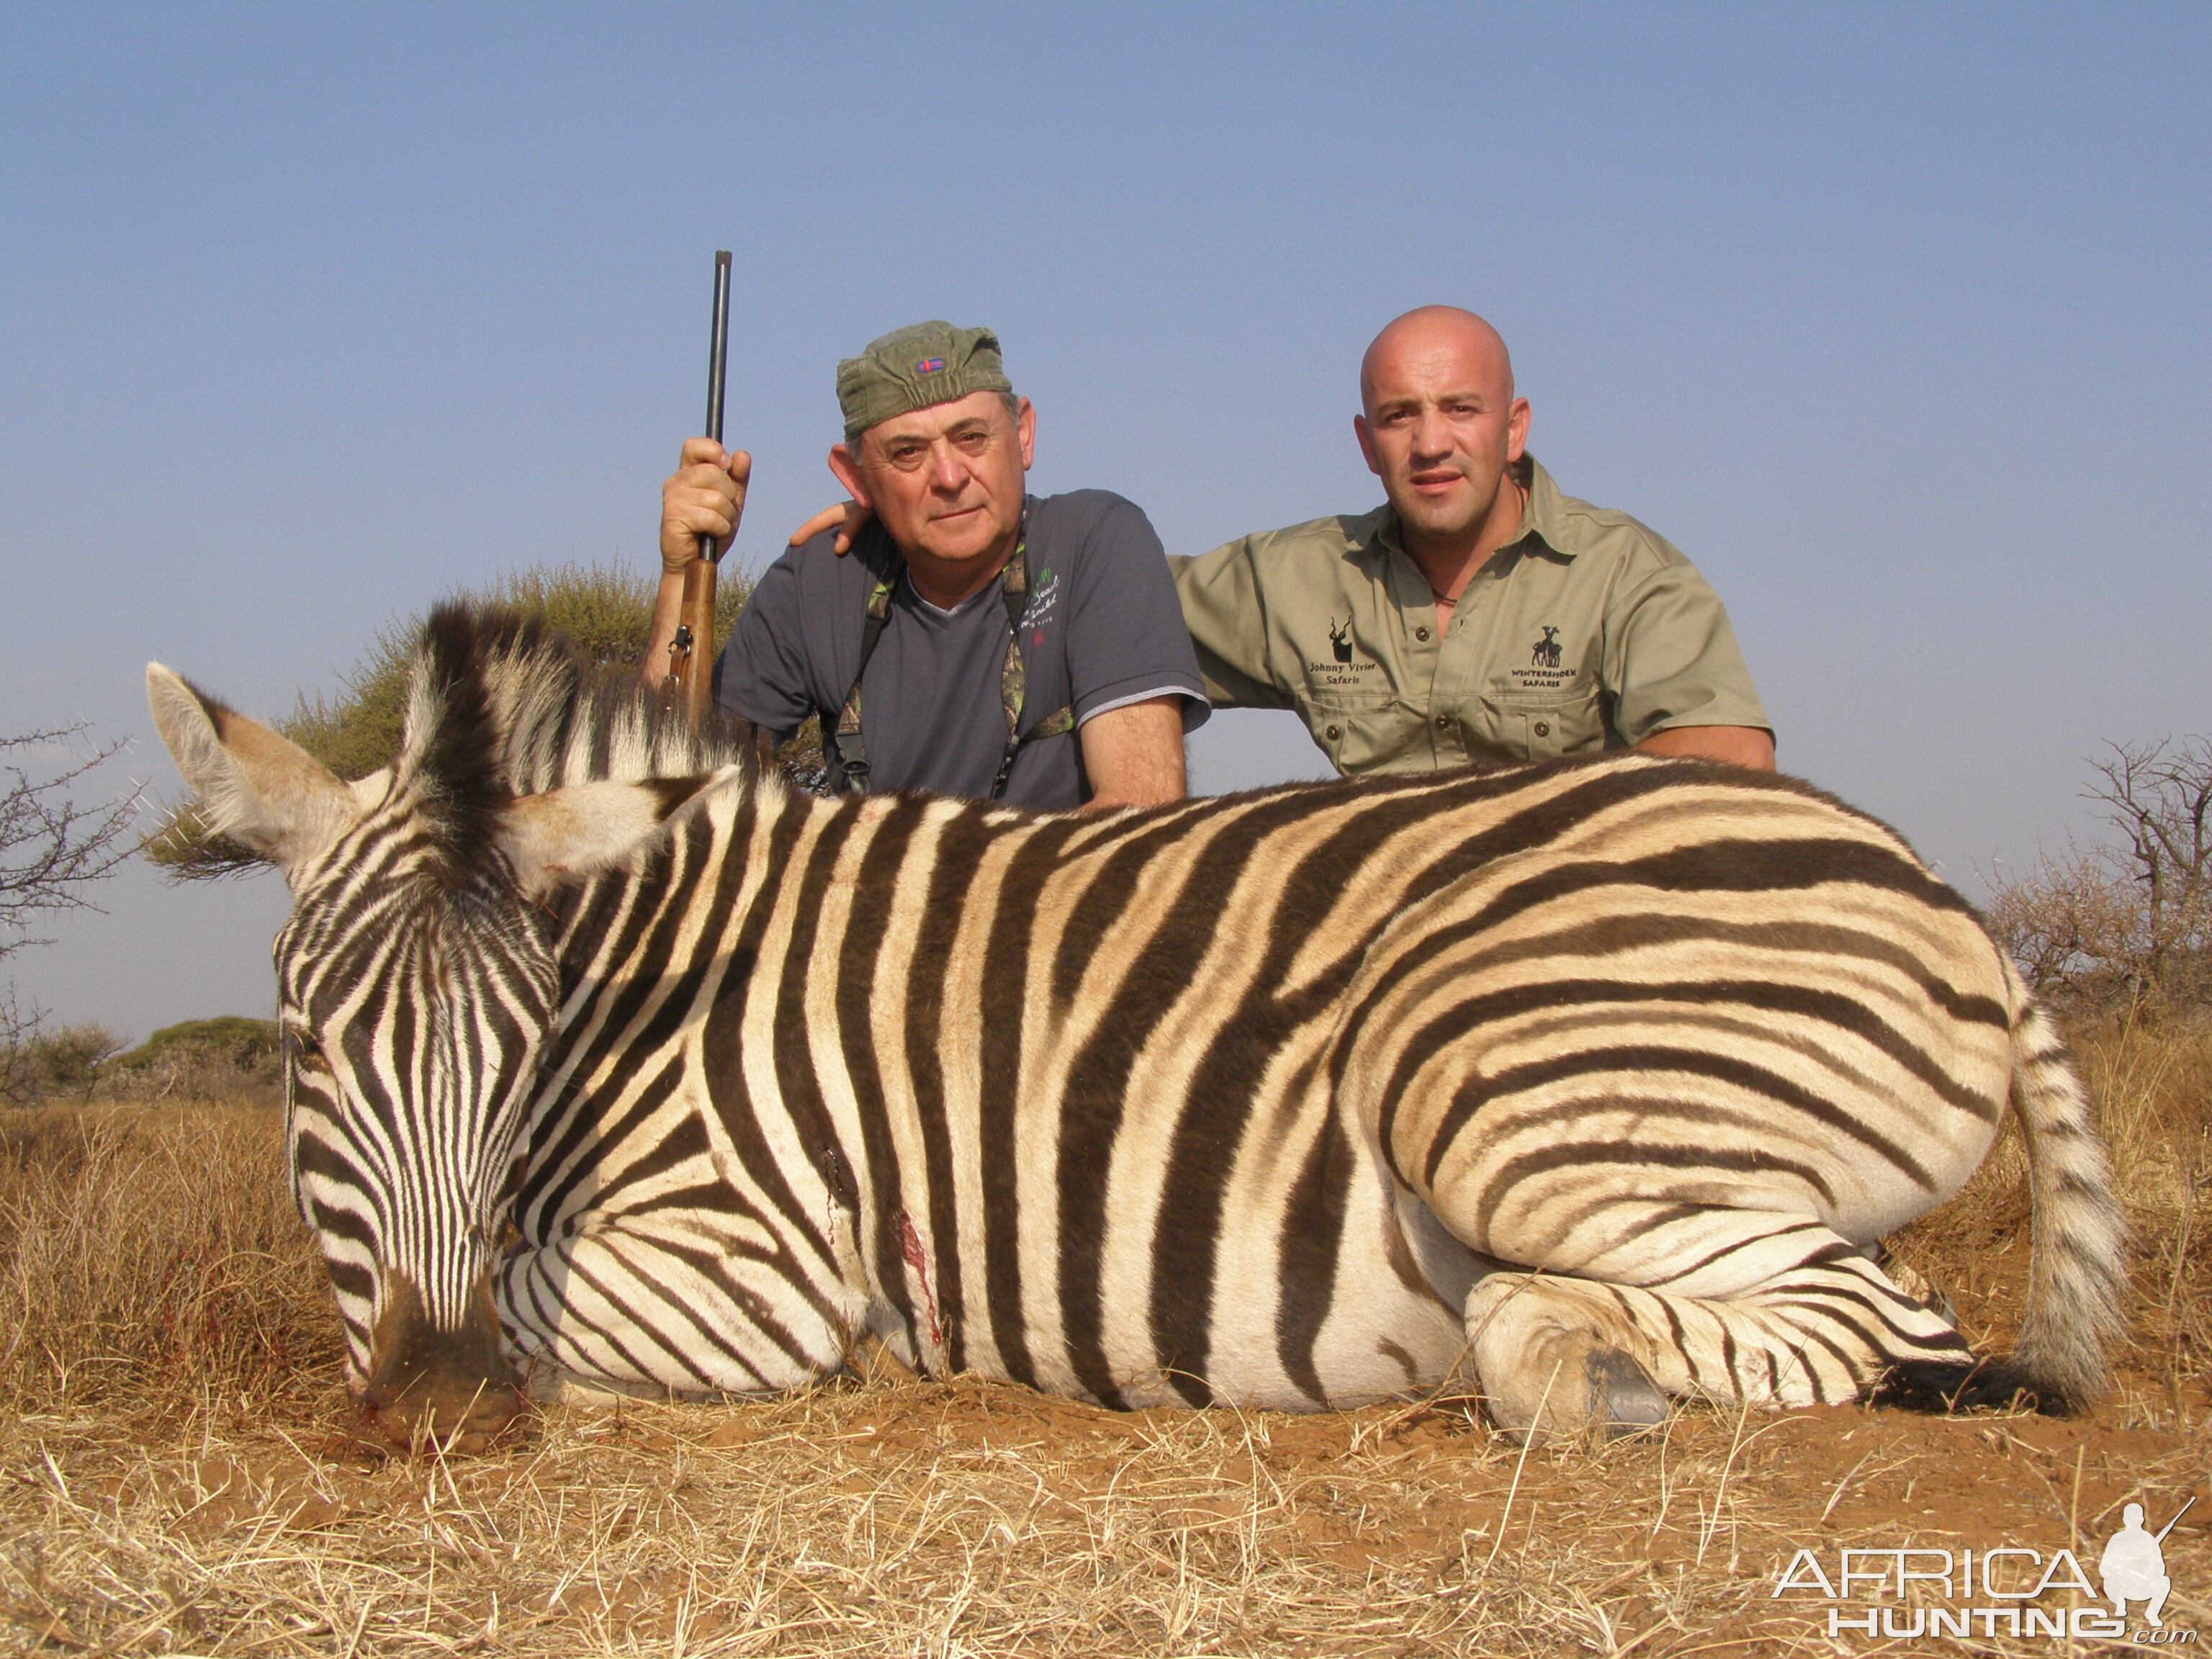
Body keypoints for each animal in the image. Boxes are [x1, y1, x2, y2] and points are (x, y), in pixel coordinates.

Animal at [143, 610, 2123, 1451]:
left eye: (519, 1046)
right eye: (305, 1052)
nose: (443, 1412)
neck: (657, 989)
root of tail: (1941, 889)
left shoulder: (755, 1263)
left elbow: (565, 1315)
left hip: (1492, 1081)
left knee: (1869, 1326)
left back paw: (1574, 1367)